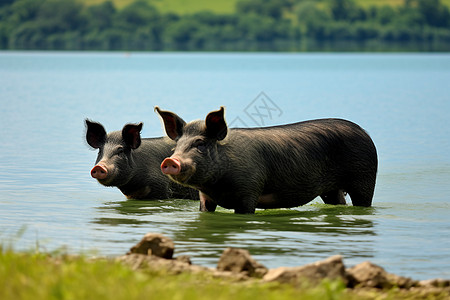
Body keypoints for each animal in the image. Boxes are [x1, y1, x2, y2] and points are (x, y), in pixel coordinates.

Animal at [156, 106, 378, 214]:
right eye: (176, 146)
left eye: (200, 144)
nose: (171, 160)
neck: (216, 186)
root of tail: (365, 132)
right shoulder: (206, 197)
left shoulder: (249, 190)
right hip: (331, 189)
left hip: (365, 178)